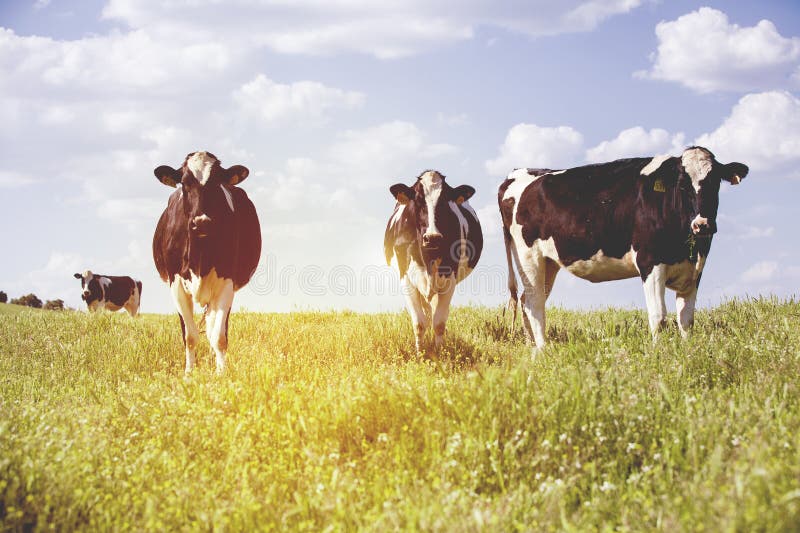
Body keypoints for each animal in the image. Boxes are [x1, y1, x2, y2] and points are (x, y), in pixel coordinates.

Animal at [152, 151, 260, 374]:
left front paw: (221, 373)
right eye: (184, 183)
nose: (201, 222)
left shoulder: (227, 283)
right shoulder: (176, 284)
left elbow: (219, 337)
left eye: (217, 183)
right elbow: (190, 336)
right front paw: (189, 373)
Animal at [386, 171, 484, 354]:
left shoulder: (450, 278)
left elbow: (439, 322)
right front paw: (420, 354)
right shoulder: (406, 278)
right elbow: (419, 323)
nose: (432, 238)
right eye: (418, 199)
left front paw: (439, 353)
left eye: (445, 200)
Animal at [500, 147, 752, 354]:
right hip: (529, 256)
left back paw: (531, 346)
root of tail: (516, 173)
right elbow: (659, 316)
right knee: (534, 303)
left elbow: (686, 319)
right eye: (682, 184)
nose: (703, 224)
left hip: (549, 262)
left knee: (526, 300)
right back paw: (544, 349)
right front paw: (659, 354)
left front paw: (688, 351)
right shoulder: (650, 262)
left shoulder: (695, 269)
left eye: (715, 182)